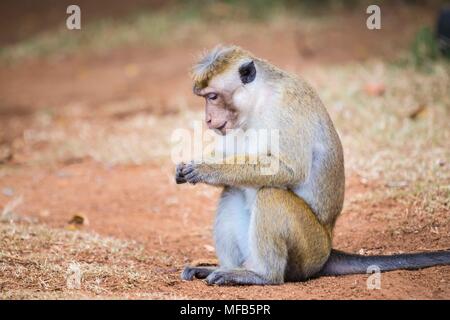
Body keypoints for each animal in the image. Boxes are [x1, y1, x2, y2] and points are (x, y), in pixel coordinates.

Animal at [175, 44, 450, 284]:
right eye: (205, 98)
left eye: (212, 96)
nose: (208, 119)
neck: (259, 99)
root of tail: (328, 248)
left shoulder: (286, 105)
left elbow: (289, 169)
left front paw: (206, 170)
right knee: (231, 190)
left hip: (309, 250)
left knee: (271, 195)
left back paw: (261, 275)